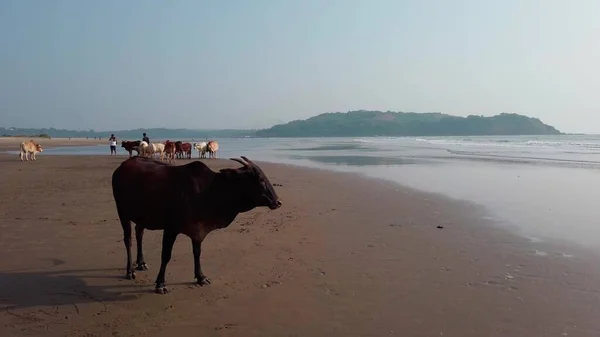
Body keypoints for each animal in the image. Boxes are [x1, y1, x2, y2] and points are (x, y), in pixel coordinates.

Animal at [112, 154, 282, 292]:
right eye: (260, 179)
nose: (278, 202)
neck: (209, 192)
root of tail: (122, 166)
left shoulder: (198, 229)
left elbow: (197, 252)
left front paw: (201, 277)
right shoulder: (171, 228)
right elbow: (166, 255)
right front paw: (160, 284)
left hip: (142, 216)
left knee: (139, 233)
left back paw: (141, 263)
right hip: (122, 212)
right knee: (128, 240)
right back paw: (130, 271)